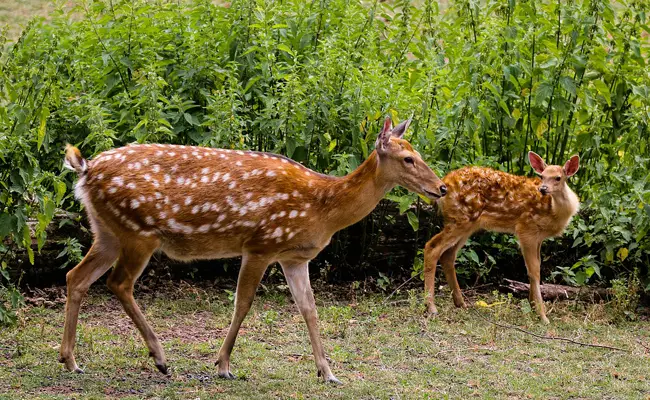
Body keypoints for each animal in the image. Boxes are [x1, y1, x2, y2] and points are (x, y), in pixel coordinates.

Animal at [60, 115, 446, 382]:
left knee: (75, 276)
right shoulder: (261, 243)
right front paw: (223, 365)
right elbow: (243, 303)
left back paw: (71, 360)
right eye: (408, 159)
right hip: (139, 232)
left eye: (418, 153)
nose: (441, 187)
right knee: (118, 283)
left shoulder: (294, 257)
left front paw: (328, 372)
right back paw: (160, 357)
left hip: (107, 232)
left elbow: (309, 309)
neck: (322, 207)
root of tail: (86, 169)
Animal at [422, 152, 580, 324]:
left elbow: (536, 268)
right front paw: (542, 315)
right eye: (542, 176)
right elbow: (534, 271)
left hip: (468, 224)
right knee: (432, 247)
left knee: (448, 255)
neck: (554, 211)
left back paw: (460, 303)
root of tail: (445, 184)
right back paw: (431, 307)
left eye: (558, 178)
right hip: (461, 219)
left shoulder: (539, 237)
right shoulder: (526, 229)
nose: (543, 189)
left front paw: (533, 306)